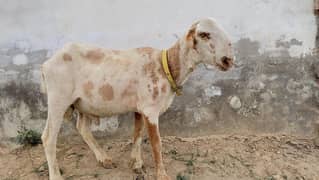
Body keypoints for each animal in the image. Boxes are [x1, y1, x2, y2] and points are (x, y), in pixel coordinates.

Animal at [41, 17, 234, 180]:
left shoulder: (140, 108)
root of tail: (47, 63)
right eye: (204, 34)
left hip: (83, 103)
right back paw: (56, 175)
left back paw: (104, 159)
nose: (228, 60)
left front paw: (136, 163)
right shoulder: (150, 109)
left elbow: (138, 134)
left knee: (83, 128)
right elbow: (156, 144)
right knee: (48, 138)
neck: (166, 67)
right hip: (58, 99)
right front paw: (161, 175)